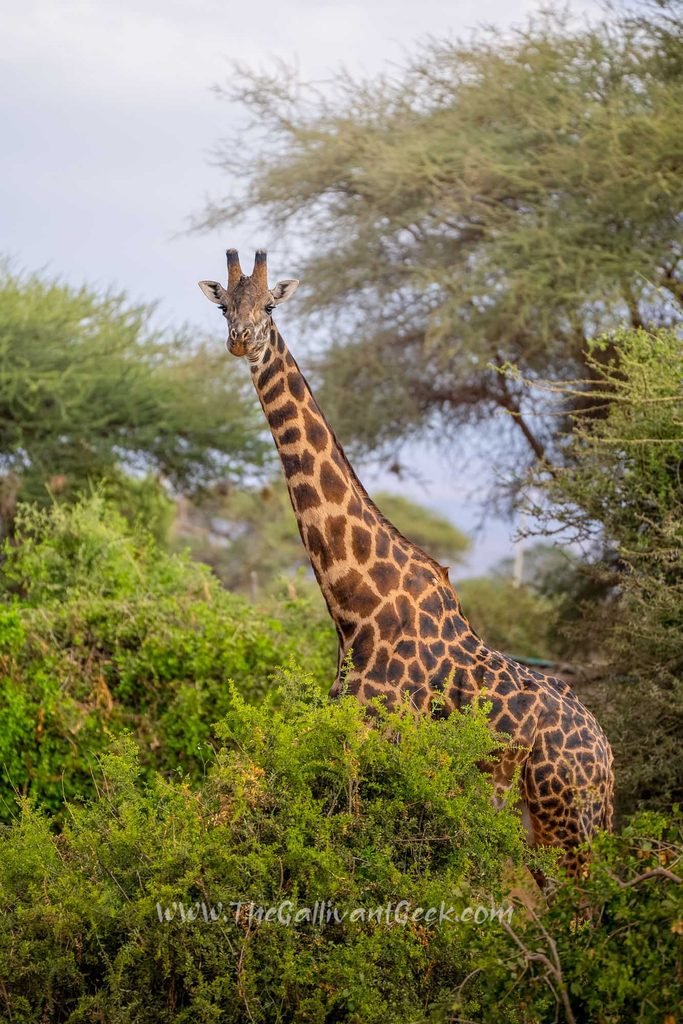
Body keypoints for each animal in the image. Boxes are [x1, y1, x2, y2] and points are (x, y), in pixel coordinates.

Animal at [199, 249, 614, 878]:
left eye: (269, 305)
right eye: (225, 305)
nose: (240, 339)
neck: (357, 606)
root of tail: (610, 763)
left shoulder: (376, 745)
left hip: (569, 828)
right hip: (540, 832)